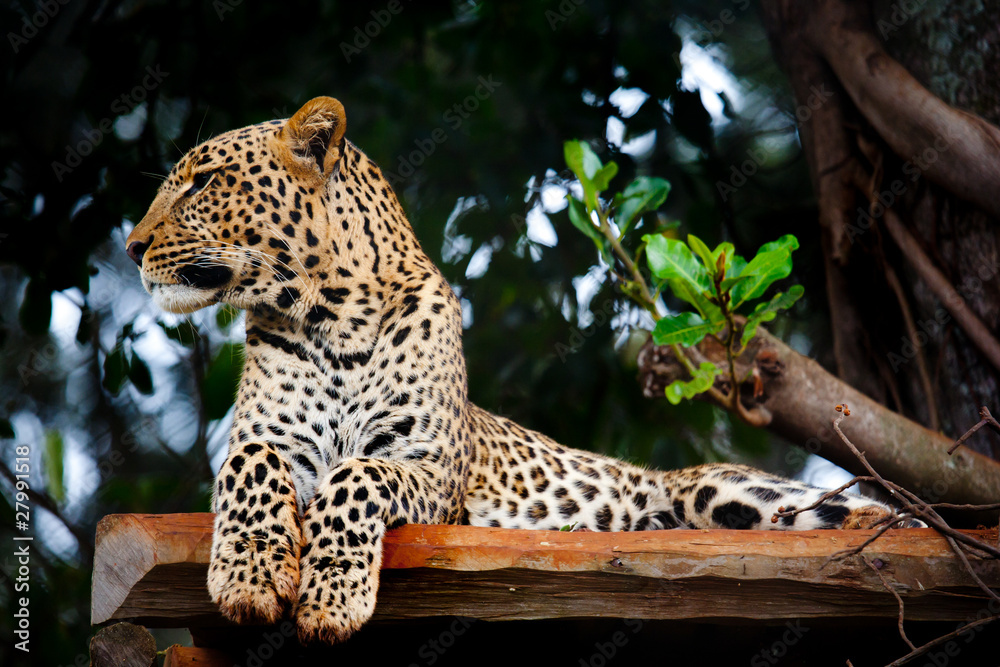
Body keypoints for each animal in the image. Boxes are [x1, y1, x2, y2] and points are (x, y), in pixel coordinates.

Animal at [125, 96, 923, 645]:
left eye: (202, 182)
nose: (131, 247)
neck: (328, 318)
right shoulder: (271, 442)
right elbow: (251, 466)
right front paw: (249, 575)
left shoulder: (430, 466)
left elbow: (356, 477)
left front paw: (330, 597)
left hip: (733, 495)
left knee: (870, 517)